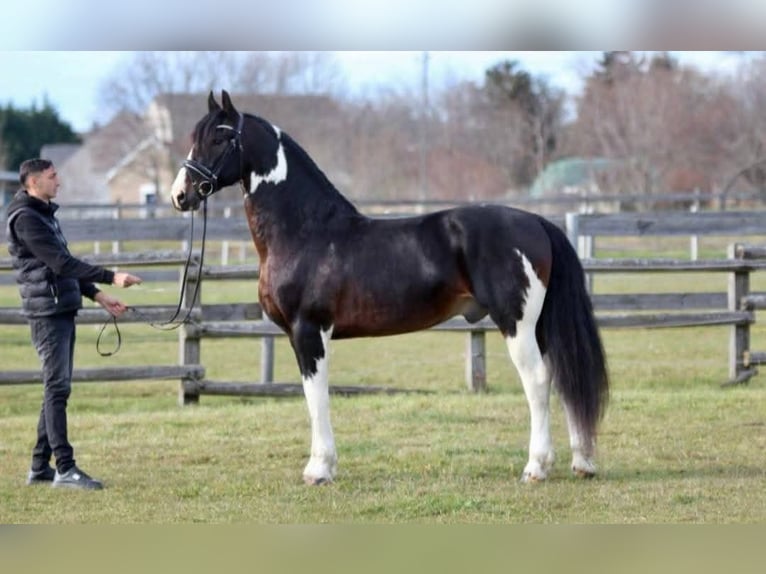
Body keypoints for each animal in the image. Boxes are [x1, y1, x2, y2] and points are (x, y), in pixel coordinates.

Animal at [170, 90, 609, 485]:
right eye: (196, 136)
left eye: (220, 138)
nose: (180, 195)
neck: (305, 230)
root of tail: (536, 222)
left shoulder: (308, 330)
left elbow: (317, 397)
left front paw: (319, 469)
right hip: (539, 326)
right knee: (562, 378)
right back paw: (582, 463)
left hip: (517, 324)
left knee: (537, 381)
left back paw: (536, 468)